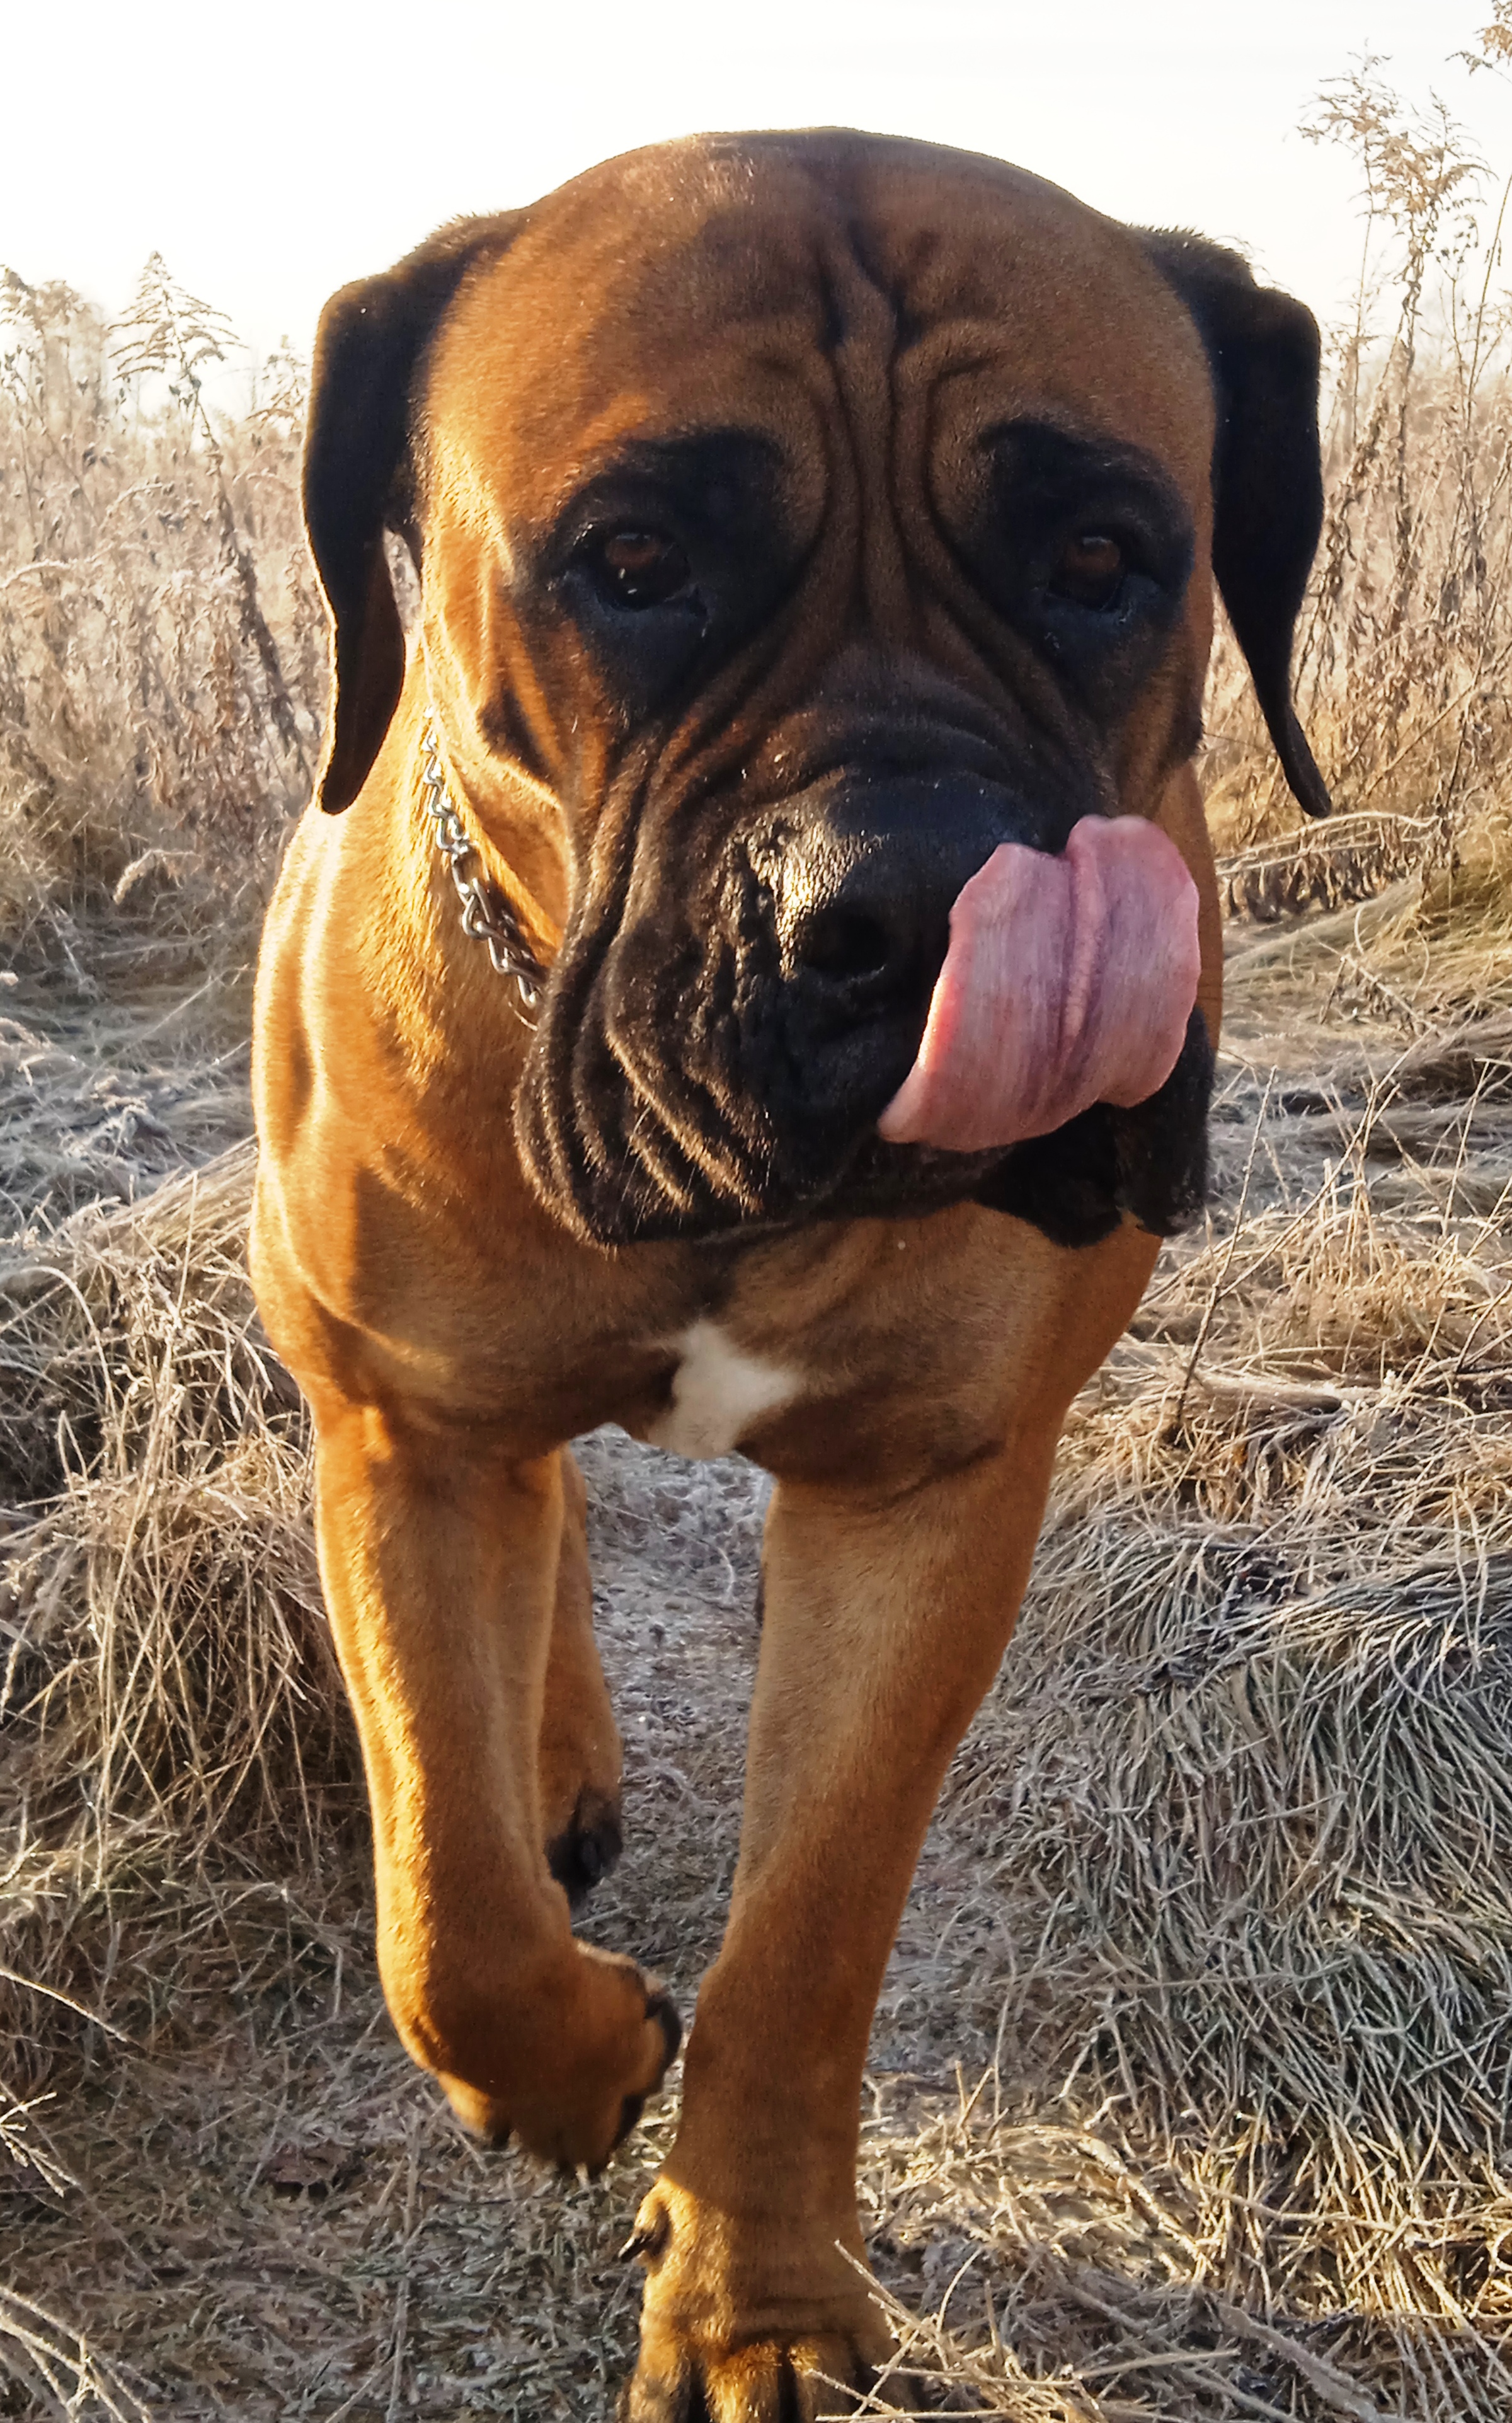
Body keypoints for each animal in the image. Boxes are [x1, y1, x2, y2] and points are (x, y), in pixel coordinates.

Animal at [250, 130, 1328, 2419]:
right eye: (634, 558)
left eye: (1102, 552)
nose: (918, 903)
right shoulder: (398, 1422)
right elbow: (446, 1904)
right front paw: (569, 2062)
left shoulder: (929, 1488)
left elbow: (814, 1920)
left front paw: (757, 2292)